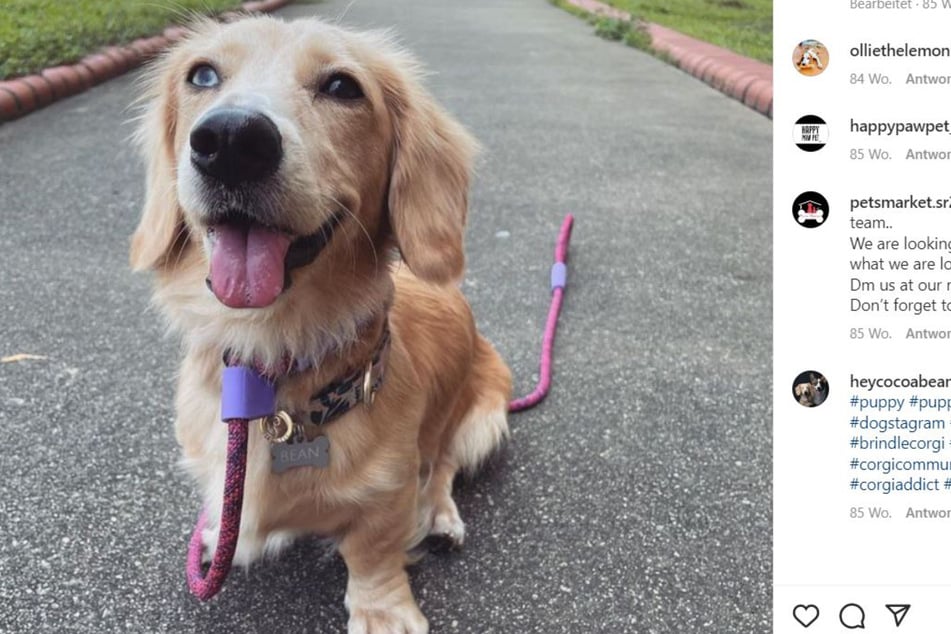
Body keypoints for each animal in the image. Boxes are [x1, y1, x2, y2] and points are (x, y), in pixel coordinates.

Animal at [134, 16, 512, 632]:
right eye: (203, 75)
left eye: (342, 87)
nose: (231, 141)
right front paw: (218, 532)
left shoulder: (389, 490)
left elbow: (372, 550)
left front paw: (383, 611)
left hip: (483, 415)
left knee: (444, 463)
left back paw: (440, 515)